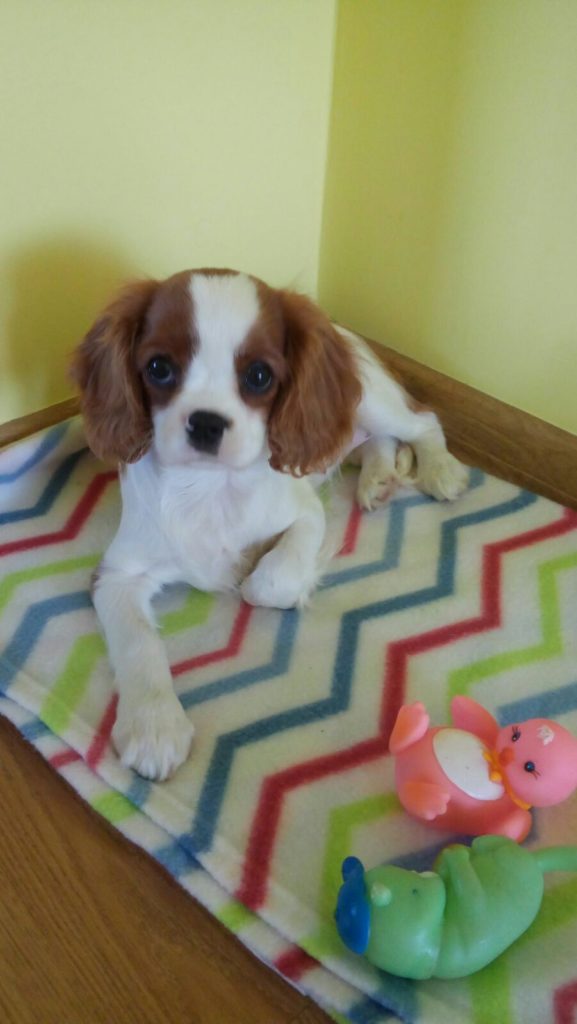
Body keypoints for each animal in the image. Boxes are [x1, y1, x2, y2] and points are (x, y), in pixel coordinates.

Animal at [72, 268, 468, 781]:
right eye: (159, 368)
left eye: (259, 376)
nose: (206, 423)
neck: (207, 485)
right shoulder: (116, 575)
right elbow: (138, 643)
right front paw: (154, 726)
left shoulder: (305, 513)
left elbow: (268, 583)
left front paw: (260, 574)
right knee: (371, 444)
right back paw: (378, 480)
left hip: (374, 403)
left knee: (422, 422)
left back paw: (440, 469)